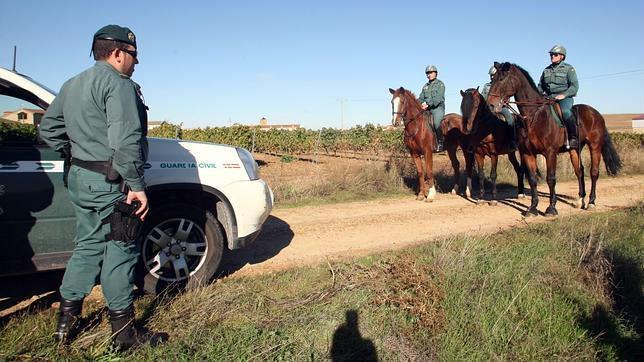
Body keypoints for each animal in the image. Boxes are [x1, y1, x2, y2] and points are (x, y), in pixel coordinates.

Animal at [488, 62, 620, 216]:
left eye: (502, 79)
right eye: (493, 79)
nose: (491, 104)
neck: (534, 116)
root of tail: (596, 114)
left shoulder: (550, 153)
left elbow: (551, 179)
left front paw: (551, 208)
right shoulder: (528, 153)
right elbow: (532, 179)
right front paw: (532, 208)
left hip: (595, 146)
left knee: (594, 172)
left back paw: (591, 202)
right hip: (575, 149)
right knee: (579, 171)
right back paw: (579, 200)